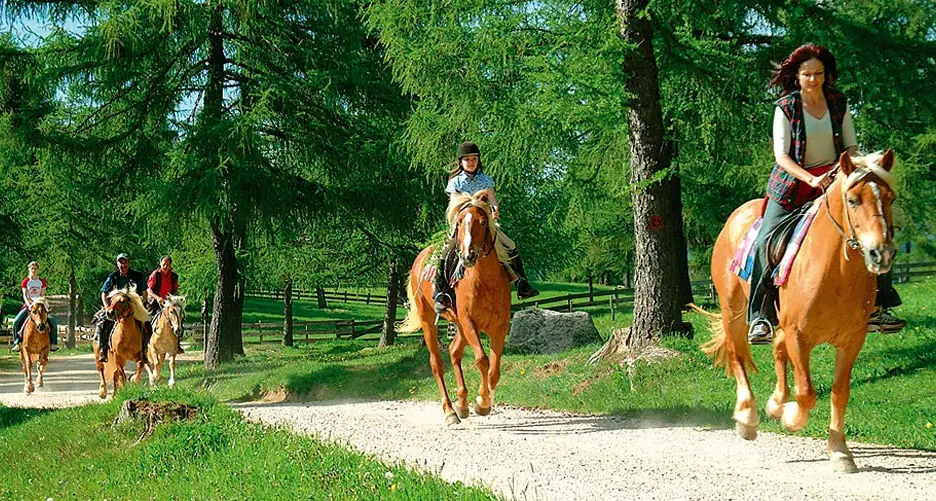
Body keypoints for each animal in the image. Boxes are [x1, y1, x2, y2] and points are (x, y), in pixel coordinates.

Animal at [399, 189, 512, 425]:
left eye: (482, 222)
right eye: (459, 222)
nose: (468, 256)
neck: (485, 281)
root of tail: (420, 259)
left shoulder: (499, 327)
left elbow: (494, 370)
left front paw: (482, 400)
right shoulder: (470, 323)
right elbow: (482, 360)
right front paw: (482, 403)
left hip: (459, 326)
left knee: (453, 352)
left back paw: (461, 405)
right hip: (430, 321)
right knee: (437, 364)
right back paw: (450, 411)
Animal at [703, 150, 896, 473]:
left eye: (890, 197)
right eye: (853, 200)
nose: (880, 253)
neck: (837, 272)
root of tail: (737, 216)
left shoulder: (852, 340)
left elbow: (839, 392)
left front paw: (840, 451)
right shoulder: (798, 335)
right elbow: (806, 393)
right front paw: (791, 418)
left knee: (777, 350)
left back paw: (774, 402)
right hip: (733, 310)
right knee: (737, 353)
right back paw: (748, 417)